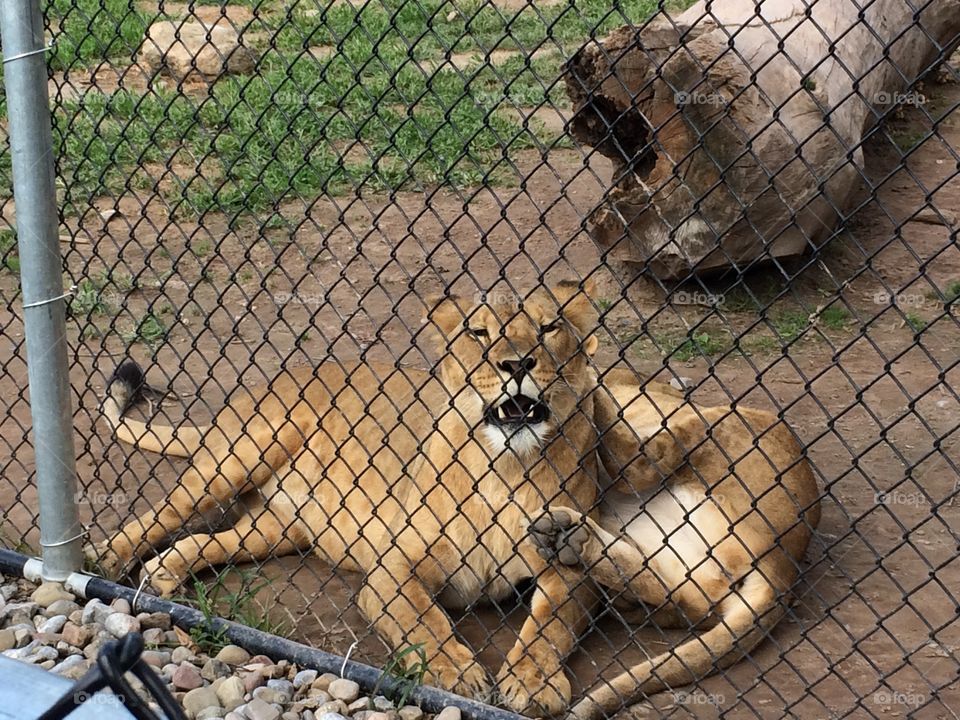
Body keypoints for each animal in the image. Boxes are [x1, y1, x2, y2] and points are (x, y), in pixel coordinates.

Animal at [95, 280, 608, 716]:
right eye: (478, 332)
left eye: (548, 327)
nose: (517, 364)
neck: (506, 468)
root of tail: (259, 388)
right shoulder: (391, 569)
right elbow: (426, 621)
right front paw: (458, 675)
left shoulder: (573, 565)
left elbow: (550, 623)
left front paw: (535, 682)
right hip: (239, 458)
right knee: (160, 513)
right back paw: (107, 558)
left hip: (278, 528)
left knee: (209, 541)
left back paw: (164, 570)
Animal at [530, 375, 821, 720]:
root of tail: (785, 569)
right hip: (652, 546)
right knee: (657, 586)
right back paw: (568, 539)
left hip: (724, 424)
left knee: (638, 463)